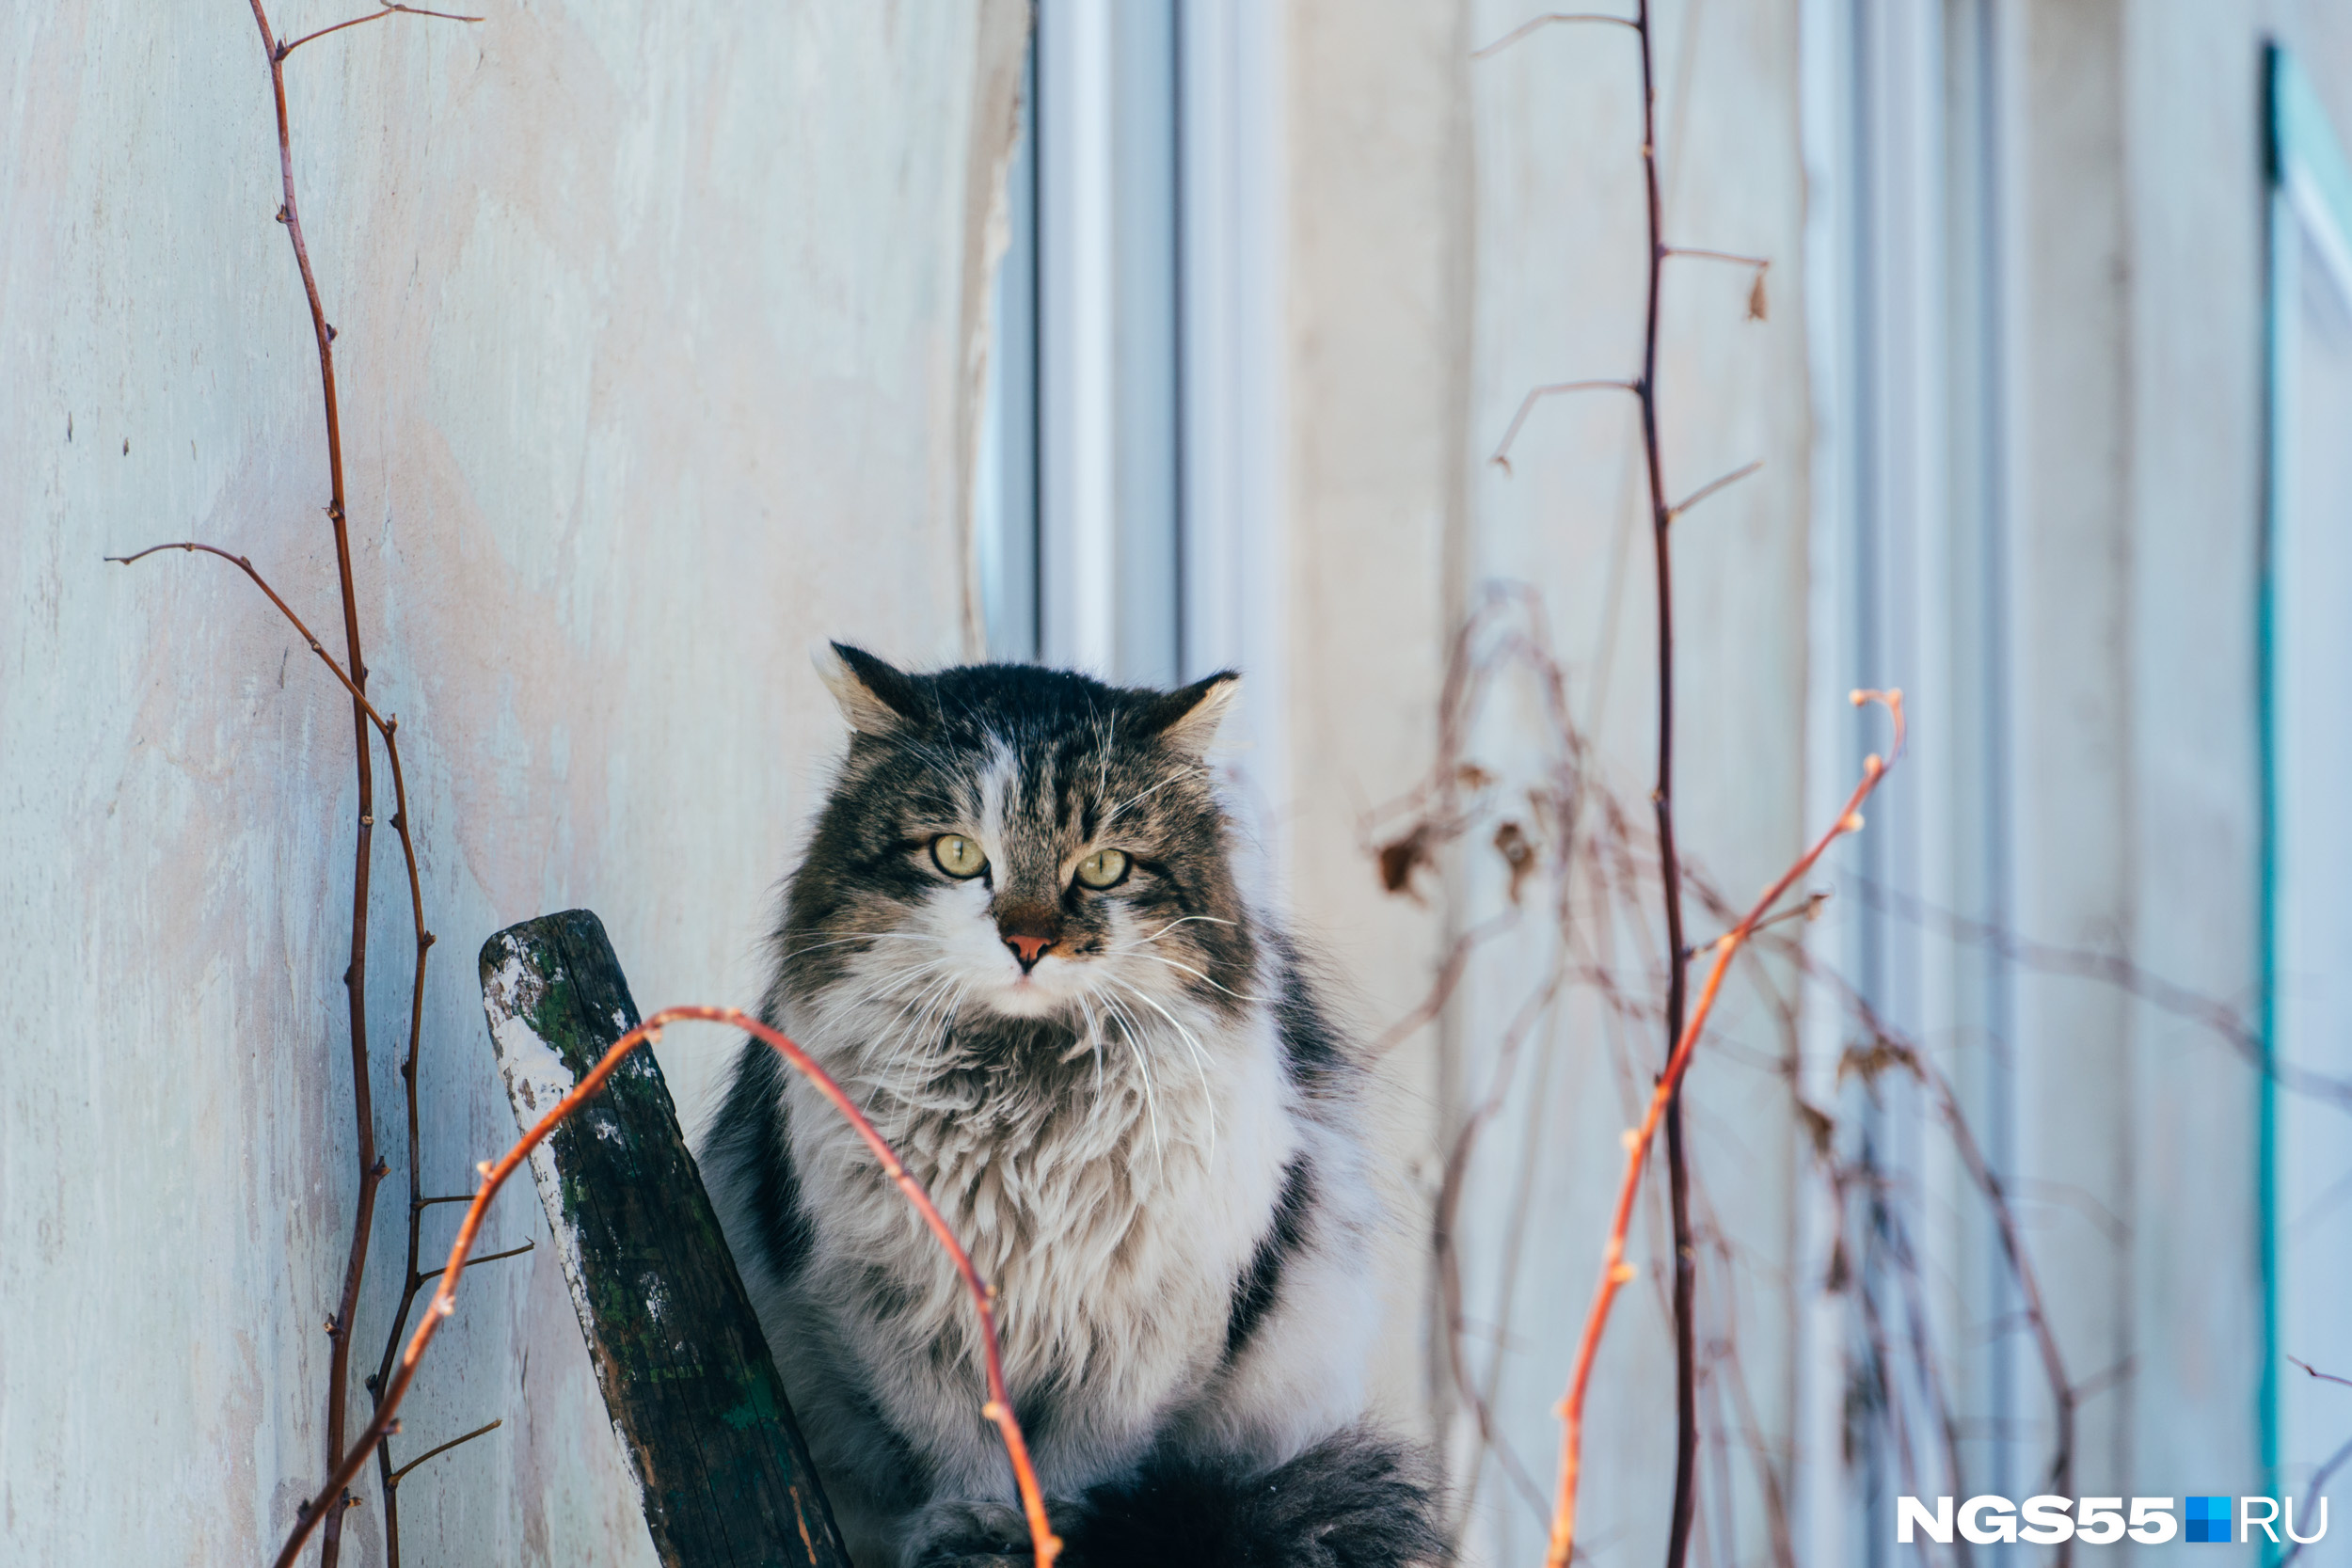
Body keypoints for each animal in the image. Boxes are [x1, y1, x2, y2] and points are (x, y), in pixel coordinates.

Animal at [701, 643, 1430, 1560]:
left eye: (1104, 866)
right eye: (955, 854)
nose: (1027, 942)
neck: (1023, 1102)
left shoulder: (1152, 1319)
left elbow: (1085, 1456)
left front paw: (1060, 1529)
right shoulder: (889, 1301)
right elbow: (958, 1442)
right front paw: (976, 1523)